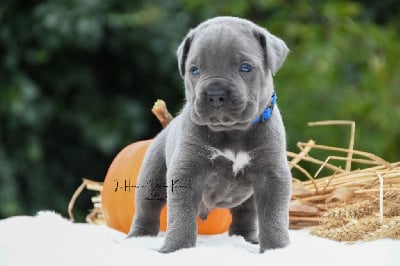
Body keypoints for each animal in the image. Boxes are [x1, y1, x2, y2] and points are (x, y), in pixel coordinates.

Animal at [128, 16, 290, 254]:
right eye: (194, 70)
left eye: (245, 67)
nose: (215, 94)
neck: (231, 130)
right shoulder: (186, 173)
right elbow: (182, 216)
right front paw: (177, 249)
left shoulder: (272, 176)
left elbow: (273, 217)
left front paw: (276, 250)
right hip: (152, 179)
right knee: (147, 210)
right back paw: (137, 238)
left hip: (247, 198)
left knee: (245, 214)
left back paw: (246, 238)